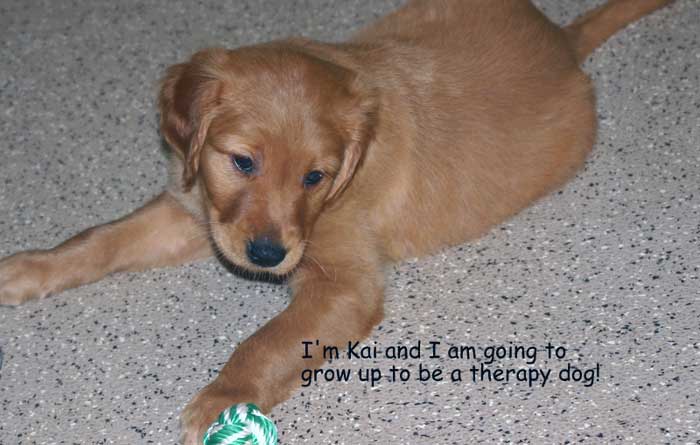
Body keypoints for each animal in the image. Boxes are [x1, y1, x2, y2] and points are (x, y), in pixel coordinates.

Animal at [1, 0, 680, 440]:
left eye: (315, 177)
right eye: (242, 161)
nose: (268, 257)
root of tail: (563, 41)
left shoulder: (344, 282)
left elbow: (269, 340)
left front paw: (224, 398)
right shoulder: (198, 208)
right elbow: (98, 241)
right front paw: (30, 268)